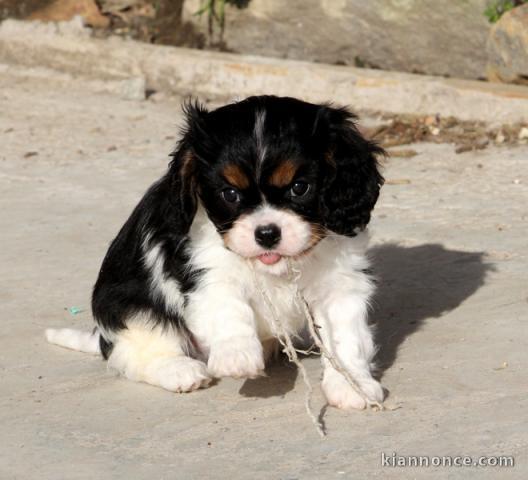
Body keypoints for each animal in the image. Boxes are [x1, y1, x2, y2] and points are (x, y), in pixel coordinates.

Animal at [46, 95, 384, 410]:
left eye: (299, 188)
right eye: (230, 194)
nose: (266, 233)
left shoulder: (341, 285)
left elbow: (345, 339)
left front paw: (352, 385)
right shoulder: (205, 273)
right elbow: (229, 305)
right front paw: (237, 354)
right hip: (130, 308)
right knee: (133, 353)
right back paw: (180, 370)